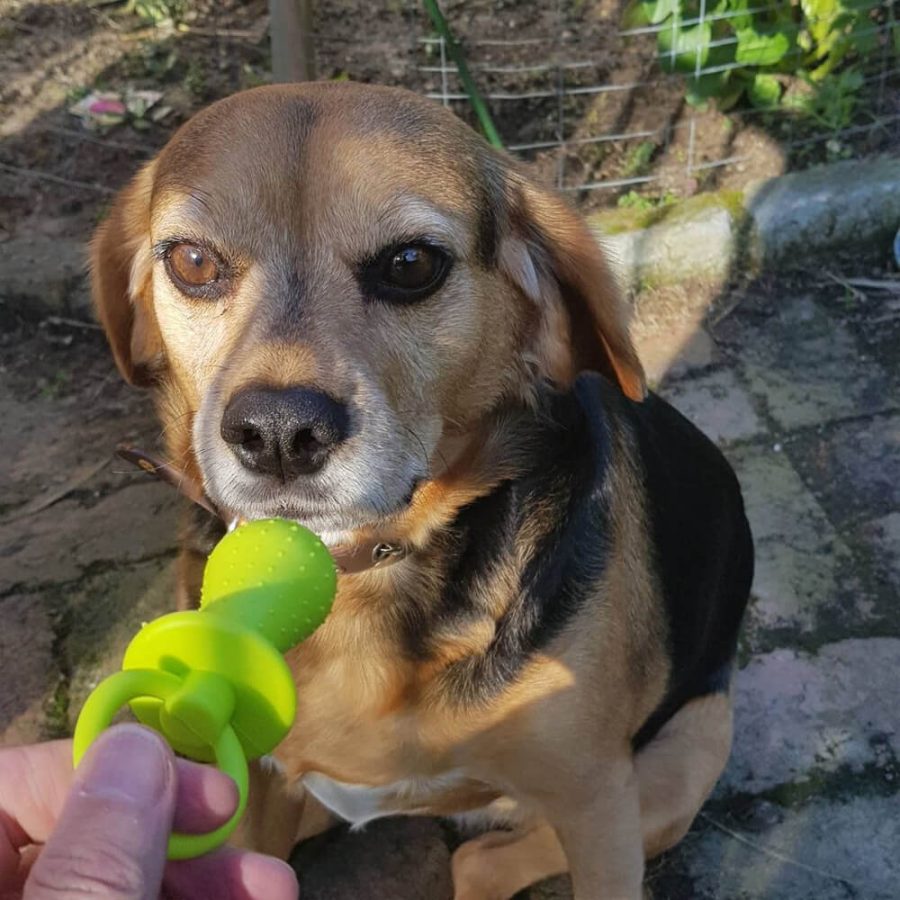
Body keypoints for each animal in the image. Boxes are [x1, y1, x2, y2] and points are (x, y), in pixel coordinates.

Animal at [89, 84, 752, 900]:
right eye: (191, 260)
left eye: (411, 265)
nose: (277, 433)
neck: (355, 575)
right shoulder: (255, 793)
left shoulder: (599, 804)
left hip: (684, 763)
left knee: (479, 860)